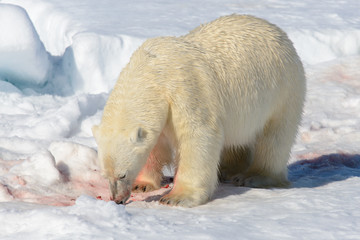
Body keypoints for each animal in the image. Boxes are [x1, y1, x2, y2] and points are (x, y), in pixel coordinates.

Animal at [92, 14, 304, 207]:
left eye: (122, 174)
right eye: (105, 175)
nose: (118, 199)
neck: (152, 73)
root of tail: (279, 32)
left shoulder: (185, 90)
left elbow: (198, 135)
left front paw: (176, 197)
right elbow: (155, 144)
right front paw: (142, 184)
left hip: (283, 90)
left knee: (275, 138)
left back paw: (254, 176)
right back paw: (227, 170)